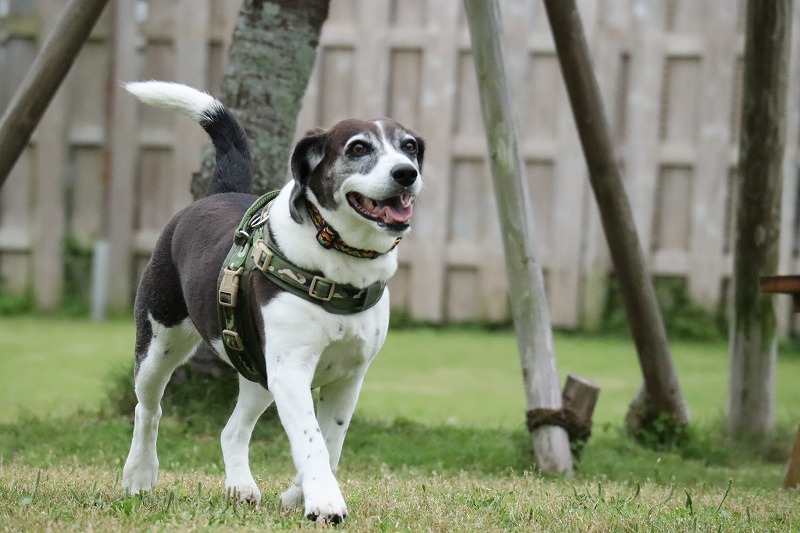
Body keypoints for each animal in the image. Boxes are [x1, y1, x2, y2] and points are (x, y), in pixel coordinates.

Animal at [120, 81, 424, 523]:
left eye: (410, 146)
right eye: (358, 148)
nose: (406, 173)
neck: (339, 265)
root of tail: (221, 190)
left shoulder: (348, 377)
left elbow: (330, 443)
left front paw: (299, 494)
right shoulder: (291, 372)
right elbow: (312, 440)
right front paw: (324, 501)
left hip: (256, 370)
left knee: (231, 430)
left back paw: (241, 487)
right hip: (159, 342)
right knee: (148, 409)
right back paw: (140, 475)